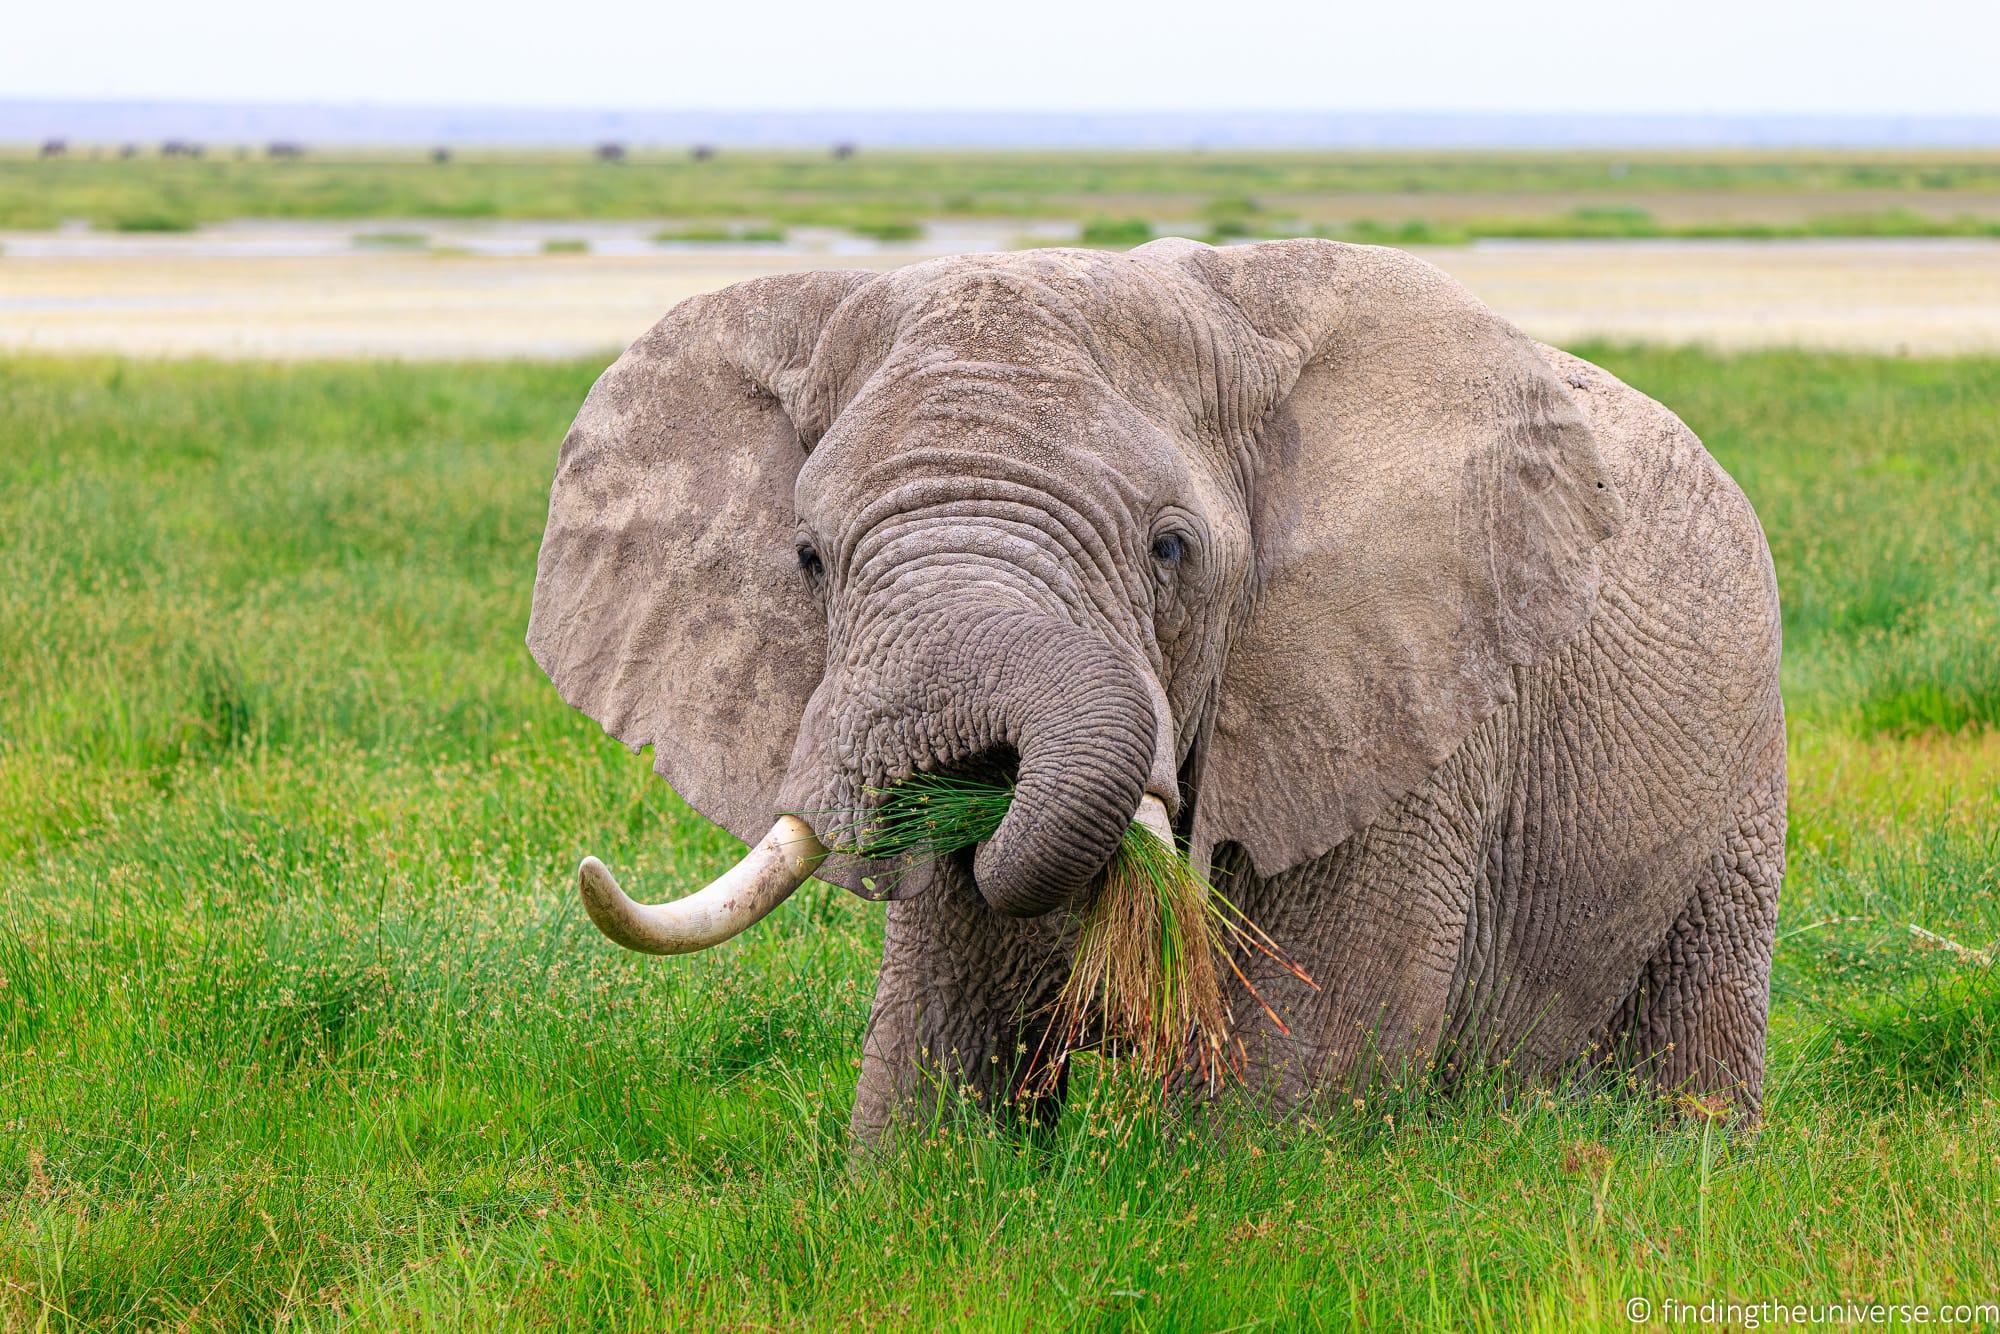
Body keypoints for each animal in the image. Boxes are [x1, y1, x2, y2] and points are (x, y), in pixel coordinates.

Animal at [528, 237, 1784, 1136]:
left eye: (1169, 548)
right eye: (807, 558)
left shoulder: (1396, 711)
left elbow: (1296, 1070)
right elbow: (938, 1044)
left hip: (1745, 738)